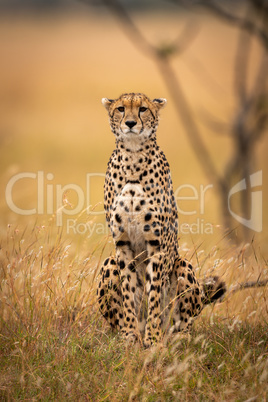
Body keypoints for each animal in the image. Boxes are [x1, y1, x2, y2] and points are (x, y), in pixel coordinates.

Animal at [97, 92, 226, 348]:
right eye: (121, 109)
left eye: (143, 109)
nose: (130, 123)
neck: (133, 157)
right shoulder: (122, 243)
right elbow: (129, 291)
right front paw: (130, 335)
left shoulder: (158, 244)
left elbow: (155, 293)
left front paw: (153, 339)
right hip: (109, 263)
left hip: (182, 265)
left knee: (183, 323)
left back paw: (175, 336)